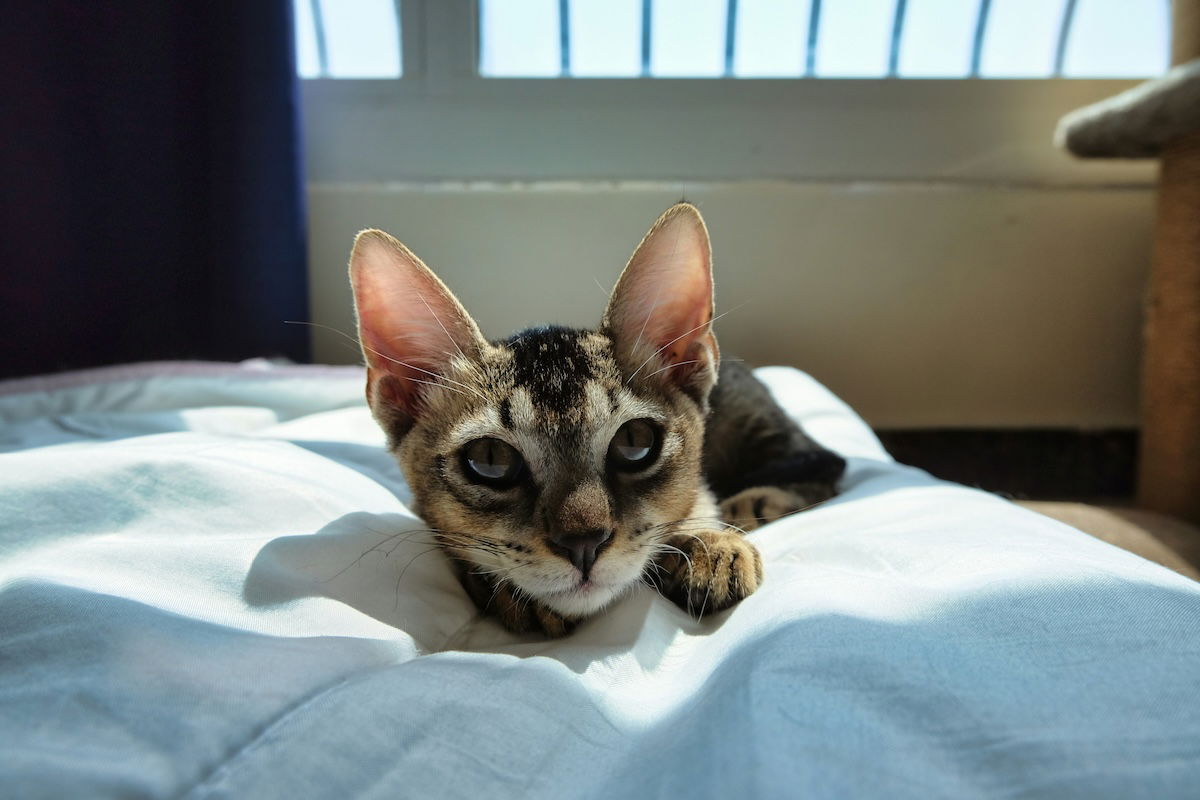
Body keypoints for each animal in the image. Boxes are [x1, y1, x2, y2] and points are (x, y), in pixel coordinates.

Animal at [348, 201, 844, 638]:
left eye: (635, 441)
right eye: (489, 459)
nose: (583, 544)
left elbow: (695, 500)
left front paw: (710, 543)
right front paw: (506, 590)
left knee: (827, 467)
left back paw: (753, 504)